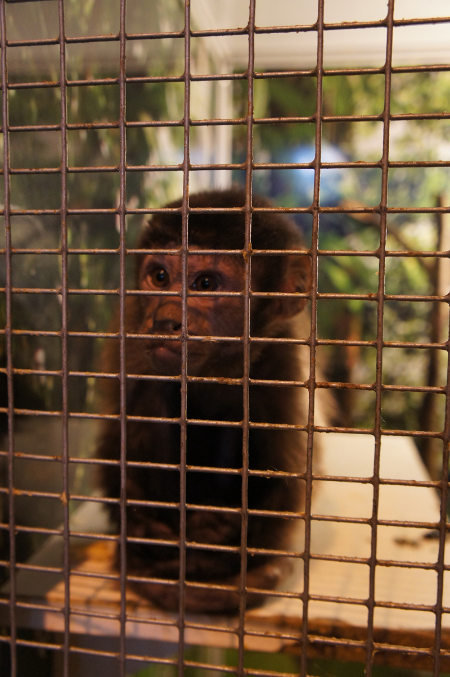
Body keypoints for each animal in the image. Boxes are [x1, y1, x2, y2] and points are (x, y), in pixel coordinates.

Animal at [96, 187, 321, 614]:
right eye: (160, 277)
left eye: (205, 283)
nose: (165, 320)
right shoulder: (131, 337)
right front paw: (146, 527)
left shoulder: (283, 362)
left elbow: (289, 478)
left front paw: (217, 541)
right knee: (155, 395)